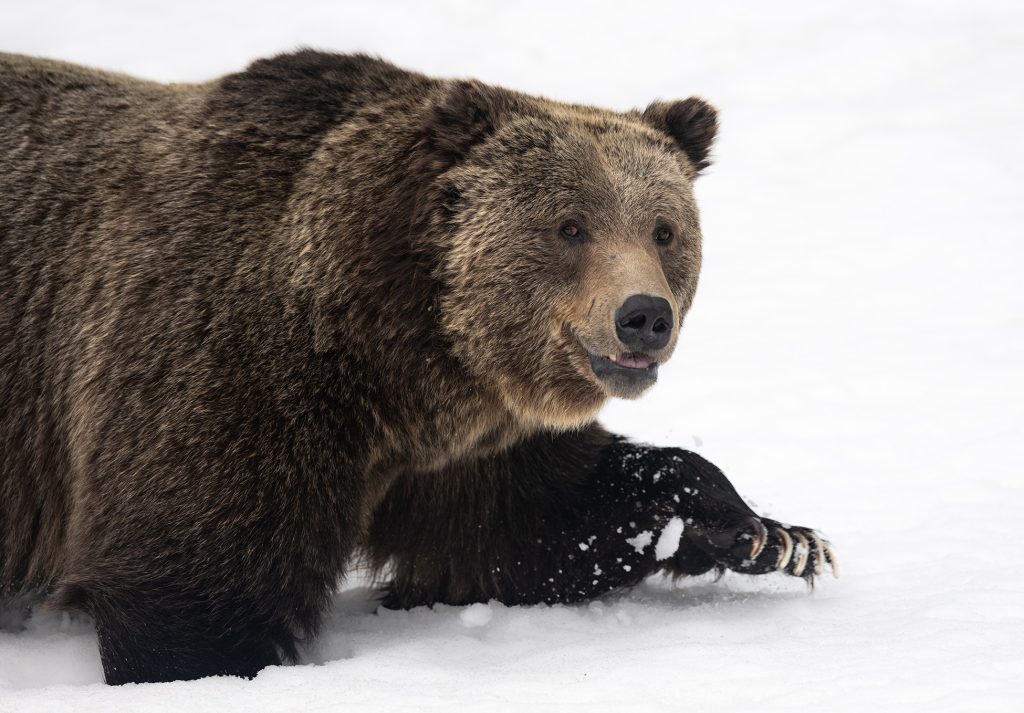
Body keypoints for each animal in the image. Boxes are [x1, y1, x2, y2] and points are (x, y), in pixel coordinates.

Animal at [0, 50, 831, 684]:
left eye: (664, 229)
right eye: (569, 225)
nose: (644, 316)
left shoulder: (462, 448)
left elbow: (535, 527)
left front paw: (769, 534)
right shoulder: (223, 371)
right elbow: (192, 574)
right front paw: (211, 666)